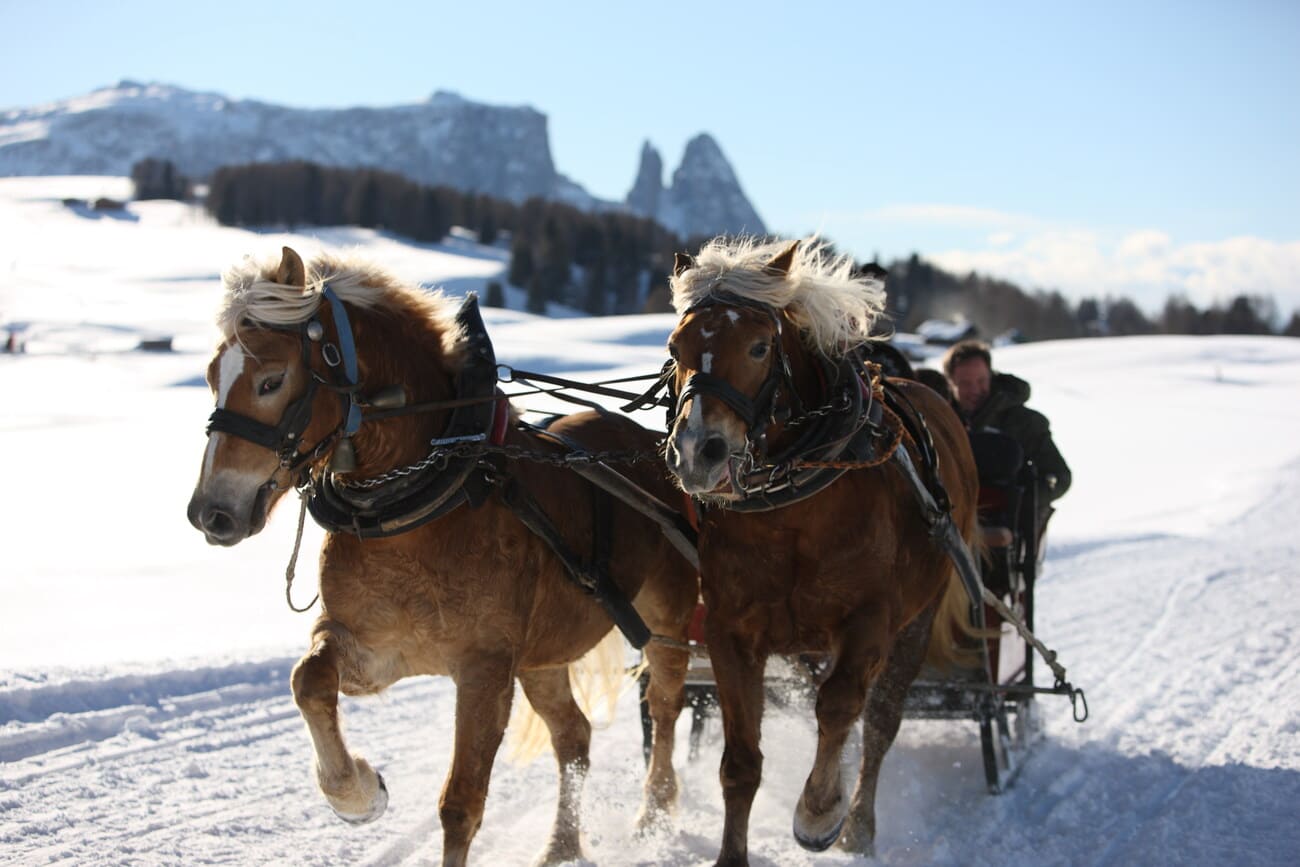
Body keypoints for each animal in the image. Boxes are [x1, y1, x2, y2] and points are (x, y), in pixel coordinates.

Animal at [183, 246, 702, 867]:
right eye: (212, 376)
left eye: (271, 380)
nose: (211, 512)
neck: (423, 501)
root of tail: (652, 448)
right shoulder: (375, 647)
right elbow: (308, 680)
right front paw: (355, 792)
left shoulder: (484, 670)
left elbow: (460, 805)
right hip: (543, 655)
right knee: (574, 736)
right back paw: (561, 846)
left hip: (667, 621)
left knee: (666, 706)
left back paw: (655, 812)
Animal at [665, 237, 977, 867]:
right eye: (675, 347)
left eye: (759, 346)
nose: (699, 451)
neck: (794, 511)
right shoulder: (732, 634)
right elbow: (741, 762)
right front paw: (731, 854)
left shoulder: (870, 621)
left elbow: (838, 708)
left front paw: (819, 812)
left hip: (918, 619)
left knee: (878, 720)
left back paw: (858, 823)